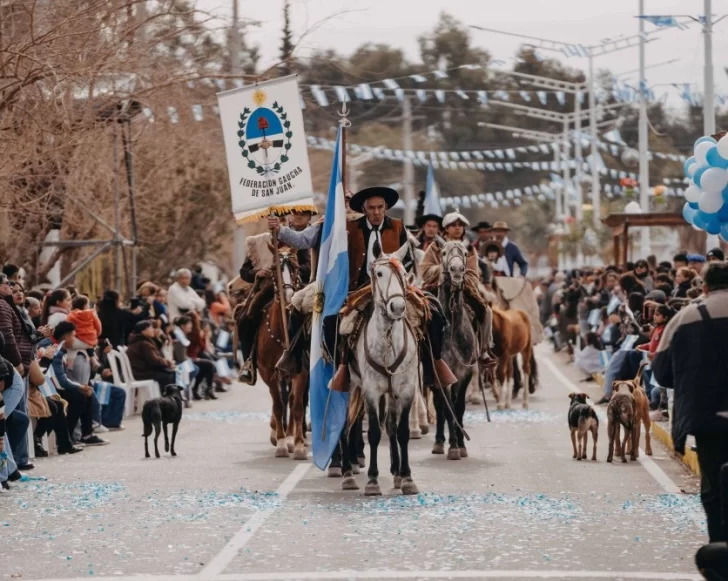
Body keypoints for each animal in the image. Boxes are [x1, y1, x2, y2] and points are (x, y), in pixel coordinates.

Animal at [348, 242, 418, 496]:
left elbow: (401, 431)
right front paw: (372, 480)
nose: (397, 306)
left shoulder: (405, 390)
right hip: (349, 386)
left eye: (404, 274)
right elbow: (375, 433)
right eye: (379, 273)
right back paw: (346, 472)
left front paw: (406, 477)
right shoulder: (371, 391)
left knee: (390, 425)